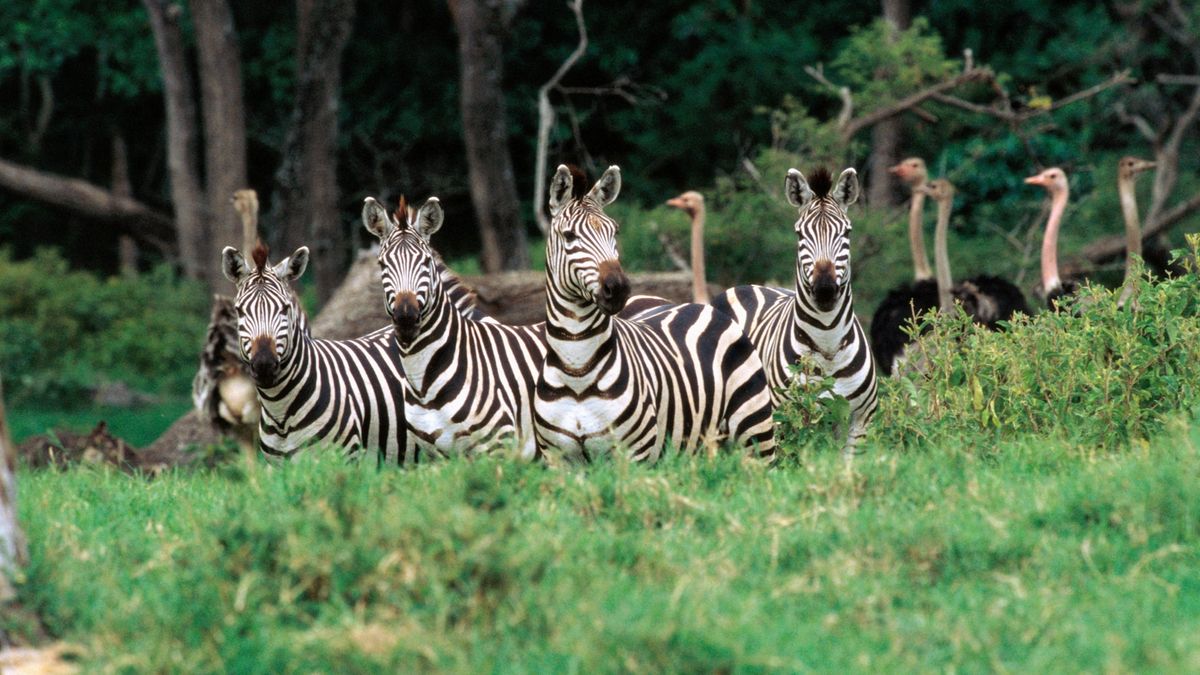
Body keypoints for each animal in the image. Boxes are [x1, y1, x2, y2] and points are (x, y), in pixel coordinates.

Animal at [535, 163, 777, 458]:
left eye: (614, 232)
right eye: (569, 236)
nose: (618, 288)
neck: (577, 369)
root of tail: (704, 307)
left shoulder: (635, 453)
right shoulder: (557, 457)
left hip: (755, 429)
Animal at [705, 165, 878, 454]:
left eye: (847, 233)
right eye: (800, 234)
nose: (825, 289)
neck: (828, 344)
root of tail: (744, 286)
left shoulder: (859, 420)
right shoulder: (782, 418)